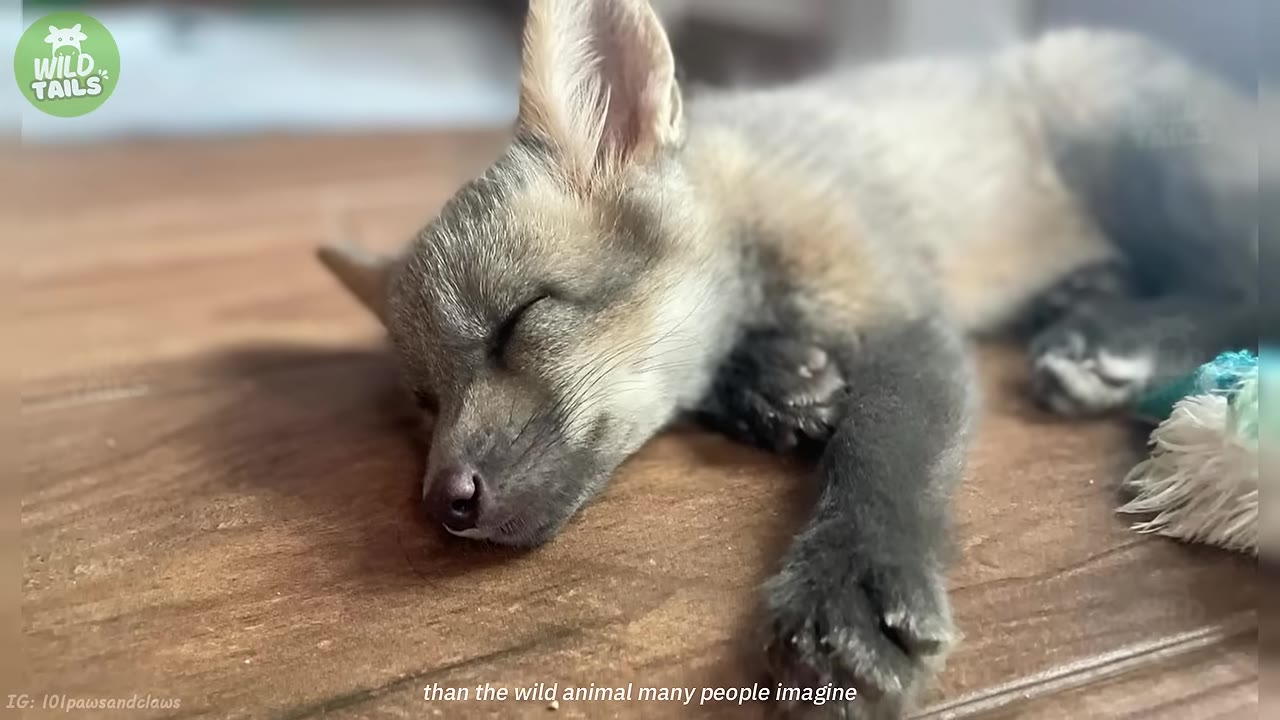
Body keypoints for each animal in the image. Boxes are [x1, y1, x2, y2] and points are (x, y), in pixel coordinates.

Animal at [316, 0, 1258, 716]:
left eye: (520, 320)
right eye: (426, 403)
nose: (443, 503)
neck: (750, 200)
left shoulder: (897, 309)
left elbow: (882, 445)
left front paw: (851, 577)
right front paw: (772, 385)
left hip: (1136, 155)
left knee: (1250, 280)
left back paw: (1118, 337)